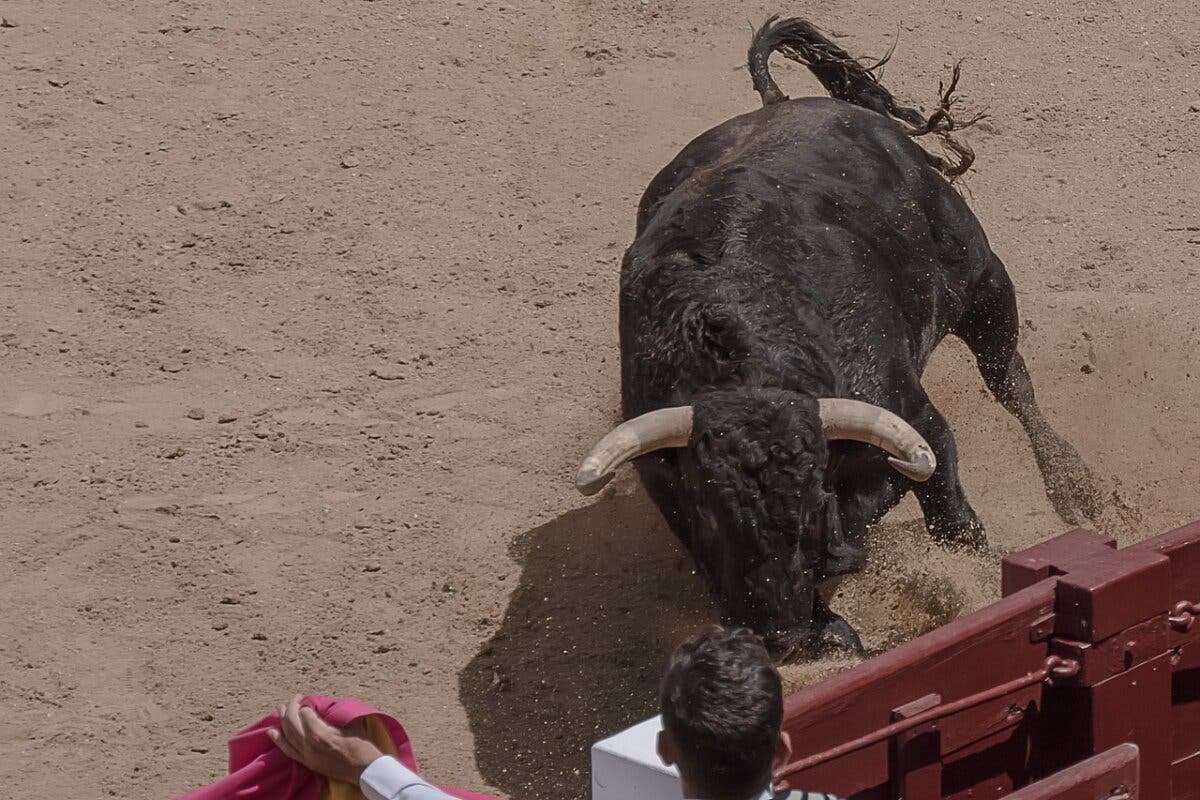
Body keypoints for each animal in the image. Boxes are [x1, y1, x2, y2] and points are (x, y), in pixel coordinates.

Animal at [571, 17, 1099, 657]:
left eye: (808, 500)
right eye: (705, 506)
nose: (776, 630)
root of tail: (782, 105)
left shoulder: (918, 423)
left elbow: (953, 520)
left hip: (983, 280)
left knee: (1011, 383)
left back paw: (1077, 487)